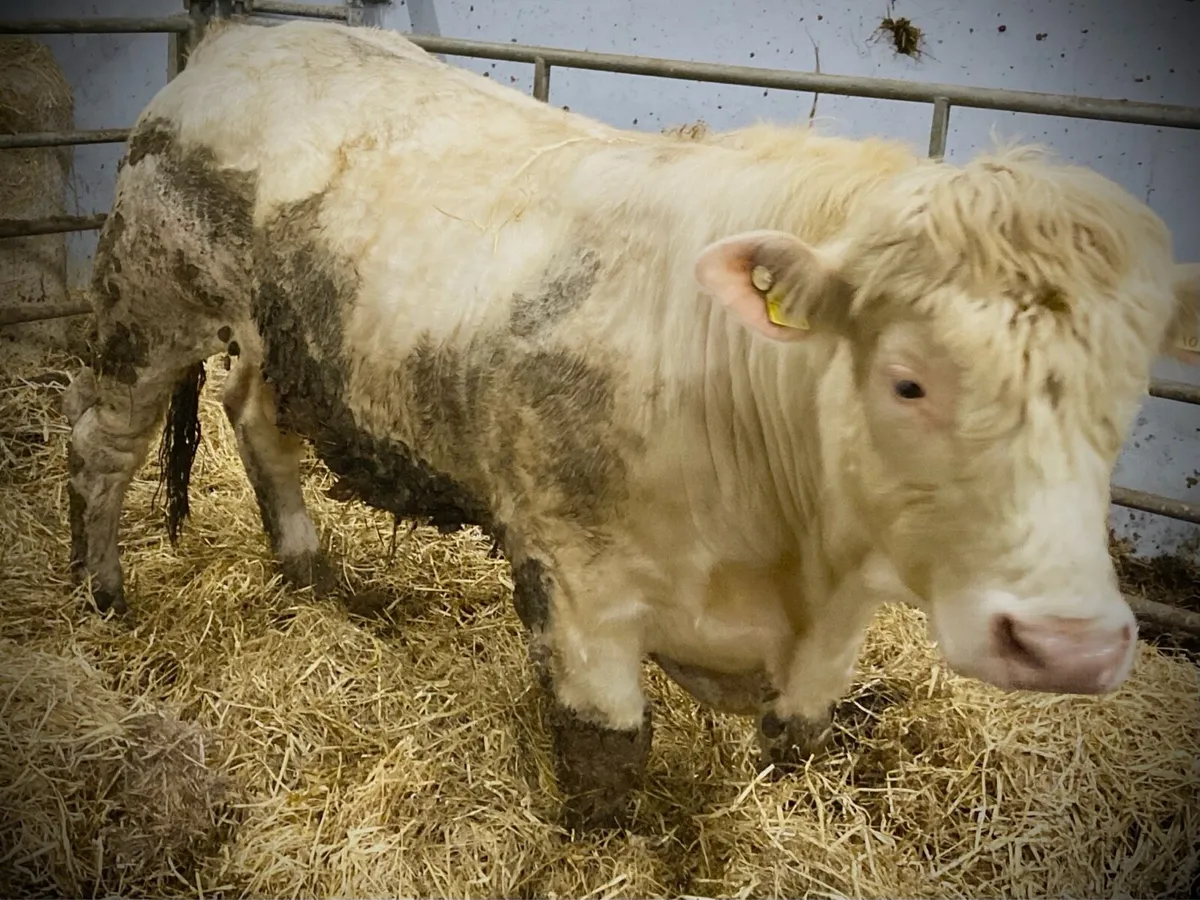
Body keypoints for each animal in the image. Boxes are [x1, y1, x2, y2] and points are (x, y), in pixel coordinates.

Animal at [64, 18, 1199, 830]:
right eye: (909, 382)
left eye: (1128, 390)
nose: (1066, 647)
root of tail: (238, 41)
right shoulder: (579, 584)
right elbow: (606, 758)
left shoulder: (833, 634)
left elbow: (799, 742)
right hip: (145, 305)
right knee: (100, 445)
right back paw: (100, 592)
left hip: (287, 345)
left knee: (253, 417)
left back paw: (308, 568)